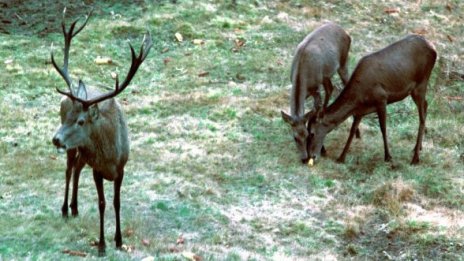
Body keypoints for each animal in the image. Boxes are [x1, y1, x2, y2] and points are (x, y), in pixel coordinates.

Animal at [50, 9, 152, 252]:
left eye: (80, 121)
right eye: (69, 116)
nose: (55, 139)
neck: (109, 156)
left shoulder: (122, 168)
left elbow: (116, 202)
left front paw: (119, 240)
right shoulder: (96, 169)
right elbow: (102, 203)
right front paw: (102, 245)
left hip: (82, 151)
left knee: (77, 167)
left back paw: (75, 207)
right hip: (73, 149)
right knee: (69, 169)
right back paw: (65, 209)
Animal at [280, 21, 352, 162]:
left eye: (308, 135)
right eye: (295, 138)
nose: (304, 158)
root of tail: (346, 33)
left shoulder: (316, 89)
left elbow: (314, 112)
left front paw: (322, 149)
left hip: (343, 62)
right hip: (325, 75)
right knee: (330, 88)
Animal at [308, 34, 436, 165]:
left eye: (312, 133)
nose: (311, 156)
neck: (359, 97)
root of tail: (433, 47)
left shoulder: (382, 99)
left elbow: (383, 128)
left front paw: (388, 157)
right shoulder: (360, 111)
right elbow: (352, 131)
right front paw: (341, 158)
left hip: (421, 83)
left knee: (421, 116)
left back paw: (415, 158)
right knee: (426, 105)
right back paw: (417, 148)